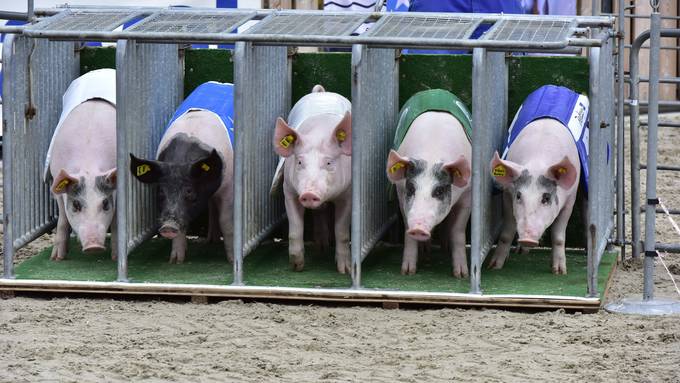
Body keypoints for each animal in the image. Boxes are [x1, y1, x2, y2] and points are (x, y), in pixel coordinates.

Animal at [44, 68, 117, 260]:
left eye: (105, 203)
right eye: (76, 205)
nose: (93, 246)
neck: (88, 166)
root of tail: (102, 70)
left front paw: (115, 257)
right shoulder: (56, 177)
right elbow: (62, 219)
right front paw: (57, 259)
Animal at [129, 81, 234, 264]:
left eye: (189, 191)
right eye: (160, 191)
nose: (168, 226)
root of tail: (222, 83)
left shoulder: (229, 186)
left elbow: (227, 221)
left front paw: (232, 260)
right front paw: (176, 261)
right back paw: (211, 240)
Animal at [270, 85, 354, 274]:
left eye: (329, 162)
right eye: (300, 162)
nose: (309, 193)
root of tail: (322, 92)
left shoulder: (348, 194)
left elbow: (342, 232)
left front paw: (344, 270)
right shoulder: (289, 190)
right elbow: (295, 229)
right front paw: (297, 266)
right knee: (319, 212)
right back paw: (320, 247)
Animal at [388, 89, 472, 278]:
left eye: (439, 191)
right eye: (411, 188)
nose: (418, 228)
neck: (432, 154)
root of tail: (433, 90)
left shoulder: (467, 194)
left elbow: (458, 231)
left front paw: (461, 275)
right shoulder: (400, 192)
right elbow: (407, 228)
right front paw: (407, 272)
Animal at [486, 85, 588, 274]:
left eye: (546, 198)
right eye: (519, 196)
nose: (527, 238)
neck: (538, 161)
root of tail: (556, 87)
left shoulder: (569, 200)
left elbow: (558, 237)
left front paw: (559, 272)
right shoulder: (507, 196)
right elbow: (506, 233)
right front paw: (494, 266)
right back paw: (521, 251)